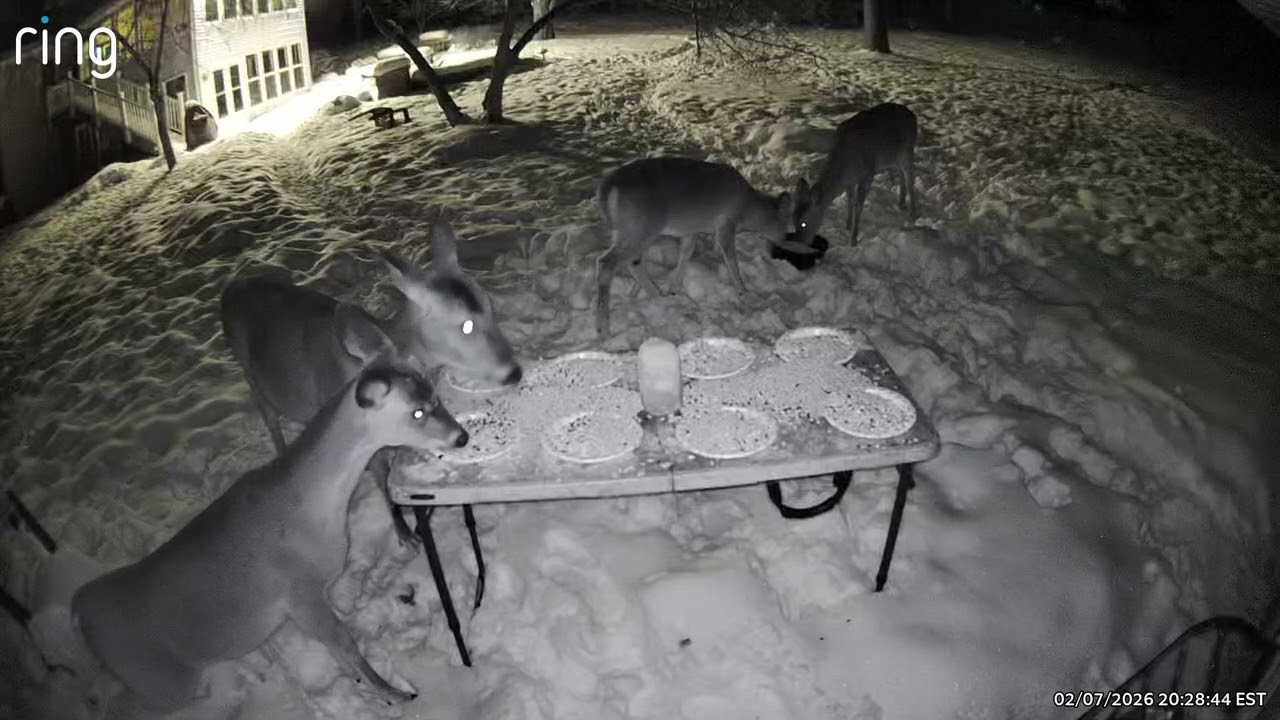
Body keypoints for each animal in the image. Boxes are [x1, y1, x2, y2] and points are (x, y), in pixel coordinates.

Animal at [71, 341, 470, 715]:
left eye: (435, 397)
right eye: (417, 412)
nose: (461, 437)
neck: (311, 508)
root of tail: (80, 609)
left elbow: (341, 650)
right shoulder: (300, 593)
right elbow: (346, 646)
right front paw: (396, 694)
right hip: (159, 679)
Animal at [220, 220, 521, 545]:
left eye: (490, 306)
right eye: (465, 325)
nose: (514, 372)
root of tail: (230, 289)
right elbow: (383, 480)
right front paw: (405, 535)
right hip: (249, 373)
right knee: (270, 419)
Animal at [593, 156, 820, 337]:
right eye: (787, 224)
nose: (786, 237)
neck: (748, 210)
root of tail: (607, 188)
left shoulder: (690, 229)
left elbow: (687, 252)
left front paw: (673, 286)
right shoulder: (726, 222)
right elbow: (730, 257)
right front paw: (743, 291)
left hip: (628, 230)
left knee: (633, 262)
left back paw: (650, 294)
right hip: (642, 226)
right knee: (607, 263)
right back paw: (604, 327)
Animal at [791, 102, 919, 247]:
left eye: (804, 223)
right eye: (793, 219)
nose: (797, 244)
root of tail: (913, 115)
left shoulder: (867, 174)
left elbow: (858, 205)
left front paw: (853, 239)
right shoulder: (851, 181)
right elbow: (850, 200)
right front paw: (847, 225)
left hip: (908, 149)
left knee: (910, 178)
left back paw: (912, 213)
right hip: (892, 158)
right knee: (901, 175)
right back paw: (901, 203)